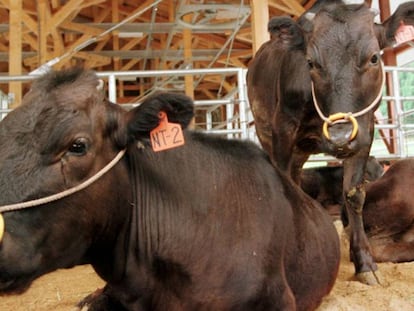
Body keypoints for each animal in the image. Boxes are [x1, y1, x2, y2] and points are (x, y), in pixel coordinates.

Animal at [246, 0, 414, 286]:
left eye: (374, 57)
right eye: (311, 63)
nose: (339, 137)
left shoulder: (364, 133)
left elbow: (354, 195)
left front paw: (364, 263)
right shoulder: (283, 130)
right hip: (266, 133)